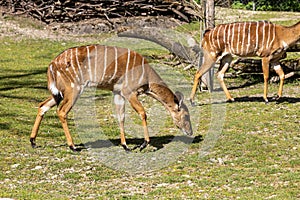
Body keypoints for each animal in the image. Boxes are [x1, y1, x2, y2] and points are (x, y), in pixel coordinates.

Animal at [30, 44, 193, 152]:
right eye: (186, 115)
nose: (190, 132)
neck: (146, 77)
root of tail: (52, 65)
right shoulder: (129, 92)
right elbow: (142, 113)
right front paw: (144, 144)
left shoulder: (118, 93)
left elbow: (121, 117)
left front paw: (126, 146)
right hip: (73, 89)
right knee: (62, 111)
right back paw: (73, 146)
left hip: (59, 93)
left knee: (42, 105)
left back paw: (33, 141)